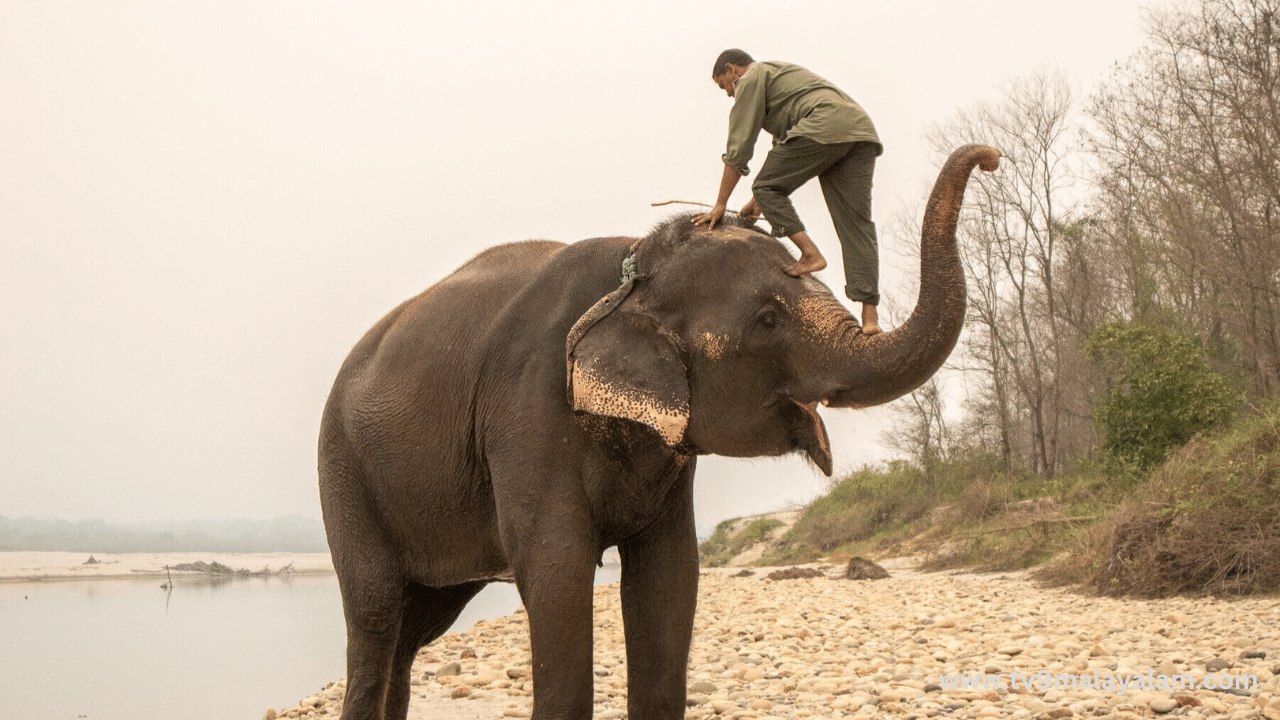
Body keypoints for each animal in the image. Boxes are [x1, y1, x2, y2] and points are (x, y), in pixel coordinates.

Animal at [317, 142, 998, 712]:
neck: (634, 272)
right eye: (769, 319)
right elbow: (557, 574)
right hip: (343, 471)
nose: (989, 158)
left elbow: (670, 577)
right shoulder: (528, 413)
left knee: (414, 630)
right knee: (377, 616)